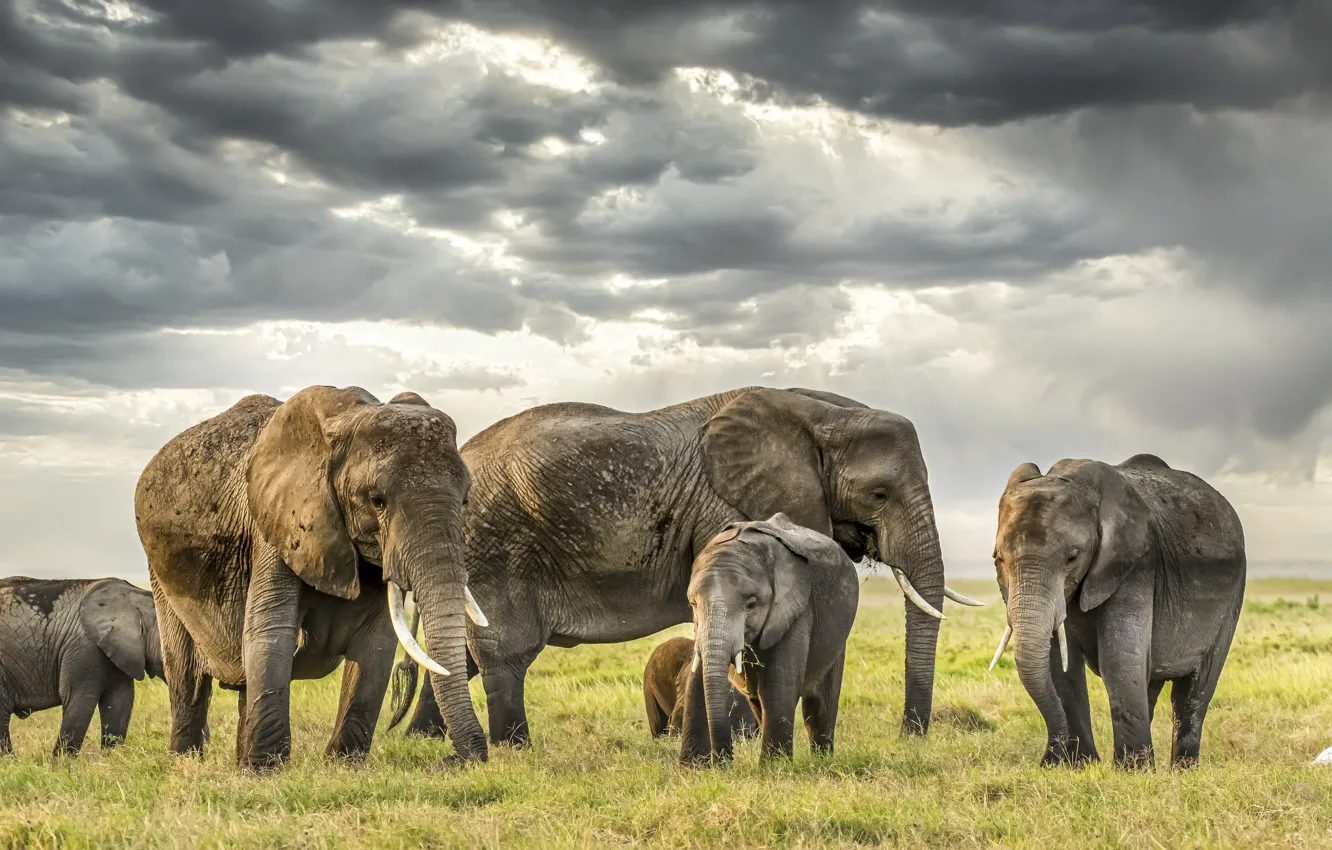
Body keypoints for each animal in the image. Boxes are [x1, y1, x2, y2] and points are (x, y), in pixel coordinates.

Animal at [0, 577, 164, 757]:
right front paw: (61, 764)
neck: (134, 598)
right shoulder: (84, 648)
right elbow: (80, 701)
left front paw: (111, 758)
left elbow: (120, 702)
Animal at [133, 386, 490, 771]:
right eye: (377, 501)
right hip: (160, 571)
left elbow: (377, 643)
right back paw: (186, 760)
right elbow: (271, 630)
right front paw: (265, 771)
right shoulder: (277, 524)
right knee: (186, 673)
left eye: (465, 499)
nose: (449, 760)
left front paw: (344, 764)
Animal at [680, 513, 859, 764]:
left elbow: (777, 684)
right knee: (758, 702)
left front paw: (775, 767)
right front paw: (693, 767)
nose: (725, 762)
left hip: (837, 639)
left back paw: (822, 760)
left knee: (819, 706)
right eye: (693, 604)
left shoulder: (798, 609)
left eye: (751, 604)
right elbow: (696, 679)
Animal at [989, 454, 1246, 770]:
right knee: (1150, 680)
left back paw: (1181, 770)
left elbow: (1117, 656)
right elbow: (1059, 664)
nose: (1046, 760)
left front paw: (1131, 771)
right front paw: (1079, 766)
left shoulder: (1136, 564)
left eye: (1072, 557)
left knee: (1195, 688)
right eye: (998, 559)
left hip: (1233, 596)